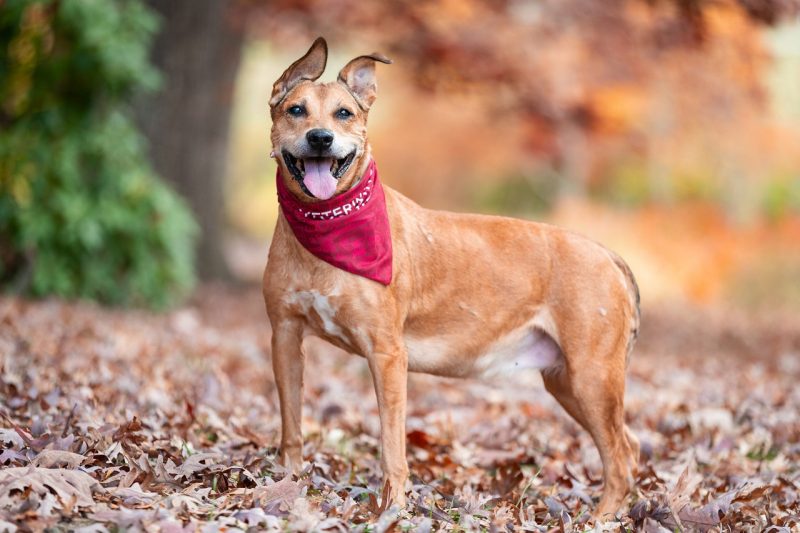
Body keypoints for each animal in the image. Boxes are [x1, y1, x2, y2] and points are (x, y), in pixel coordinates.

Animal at [266, 38, 640, 520]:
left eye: (343, 114)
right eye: (296, 110)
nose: (320, 138)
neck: (326, 223)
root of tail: (607, 254)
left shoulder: (387, 355)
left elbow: (392, 445)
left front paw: (393, 508)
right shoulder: (285, 336)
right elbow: (292, 424)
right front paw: (287, 484)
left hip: (592, 378)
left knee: (620, 456)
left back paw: (600, 518)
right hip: (567, 382)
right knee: (629, 446)